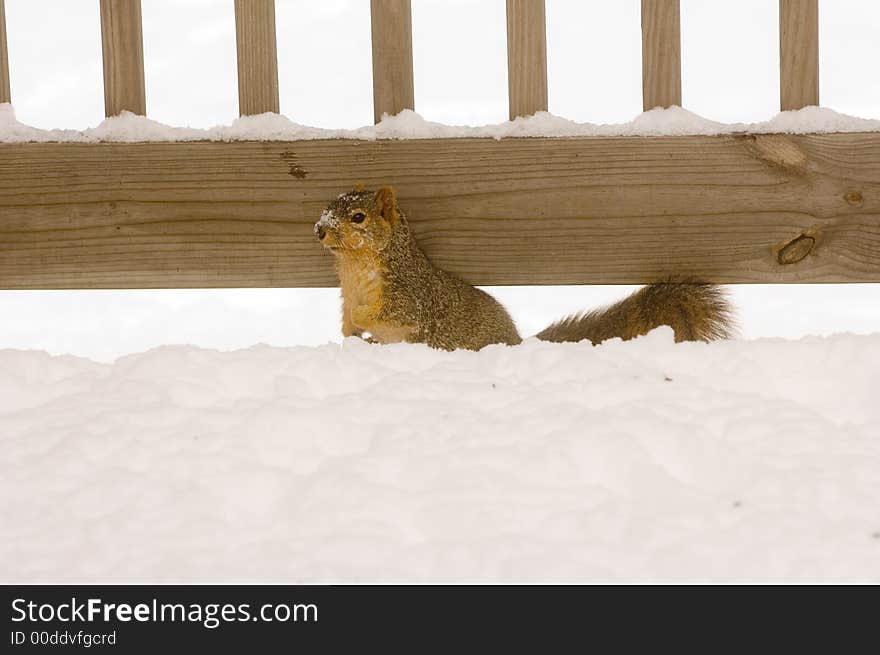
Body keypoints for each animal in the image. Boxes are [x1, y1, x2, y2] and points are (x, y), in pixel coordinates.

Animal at [312, 184, 732, 352]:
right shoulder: (346, 296)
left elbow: (391, 314)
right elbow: (347, 320)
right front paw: (352, 337)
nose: (318, 228)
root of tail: (516, 343)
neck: (354, 270)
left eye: (358, 217)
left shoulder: (409, 296)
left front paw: (363, 323)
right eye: (329, 206)